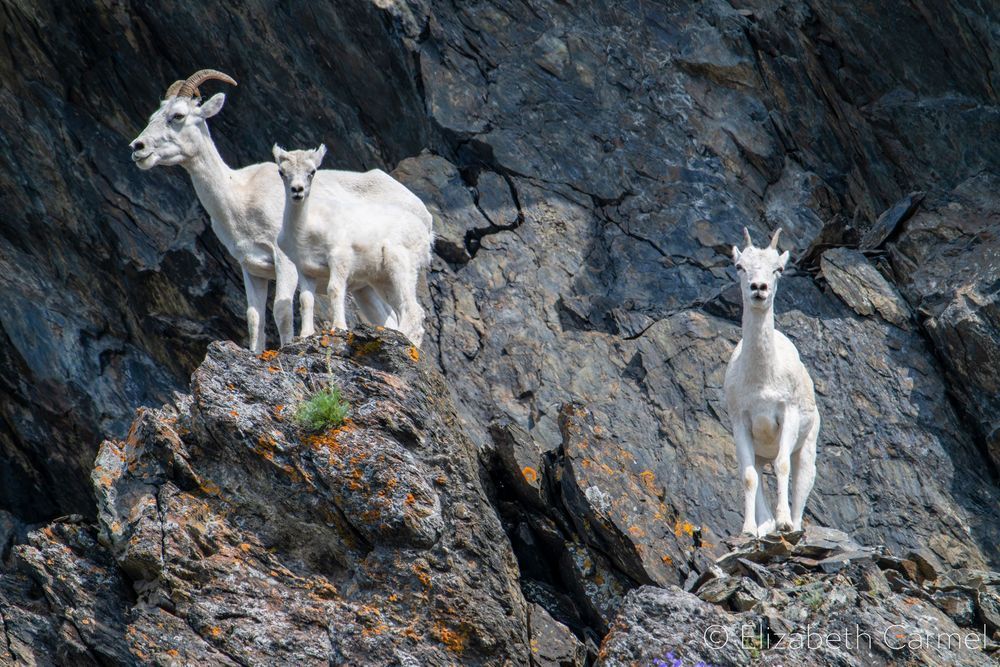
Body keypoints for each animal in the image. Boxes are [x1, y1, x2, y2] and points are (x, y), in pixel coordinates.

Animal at [273, 144, 432, 347]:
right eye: (282, 172)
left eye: (312, 172)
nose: (297, 190)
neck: (304, 230)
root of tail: (425, 231)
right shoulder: (305, 270)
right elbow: (306, 300)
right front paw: (305, 335)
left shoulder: (339, 257)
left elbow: (334, 289)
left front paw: (339, 327)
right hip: (383, 281)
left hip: (400, 265)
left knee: (413, 310)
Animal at [724, 228, 820, 537]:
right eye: (740, 266)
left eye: (778, 269)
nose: (759, 288)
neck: (762, 381)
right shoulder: (742, 423)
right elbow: (749, 477)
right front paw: (748, 531)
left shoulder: (787, 415)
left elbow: (782, 467)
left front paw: (784, 523)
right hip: (757, 452)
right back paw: (764, 527)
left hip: (807, 448)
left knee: (801, 484)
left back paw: (791, 525)